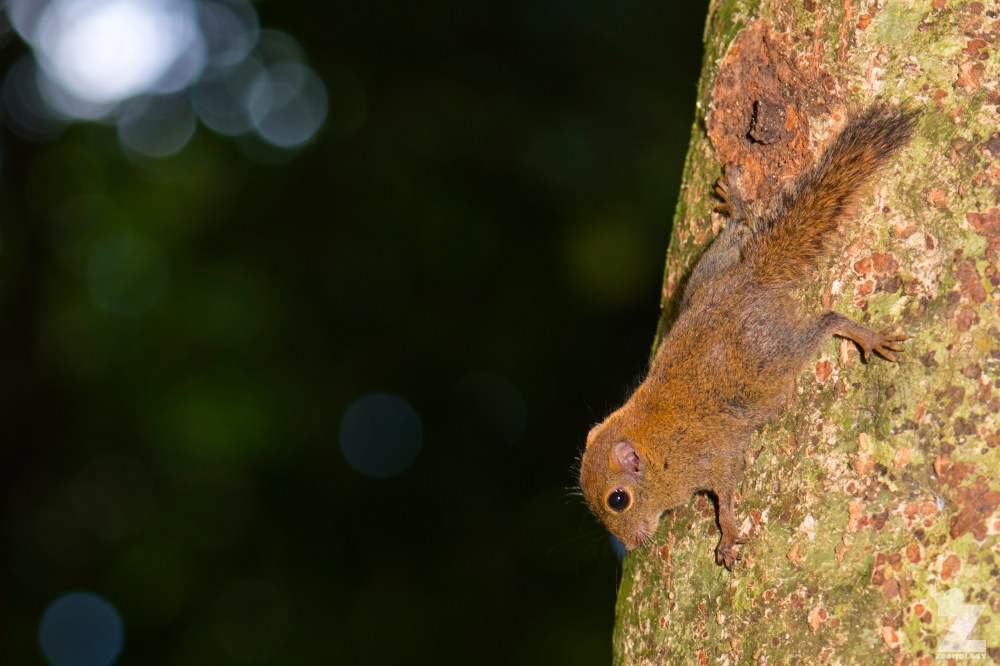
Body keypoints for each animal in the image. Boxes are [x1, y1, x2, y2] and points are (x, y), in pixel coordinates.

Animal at [578, 104, 918, 570]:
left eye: (618, 499)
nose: (628, 545)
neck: (657, 447)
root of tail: (752, 279)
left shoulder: (710, 457)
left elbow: (724, 496)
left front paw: (726, 536)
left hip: (770, 354)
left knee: (825, 321)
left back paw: (861, 334)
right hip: (709, 277)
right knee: (741, 230)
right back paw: (738, 206)